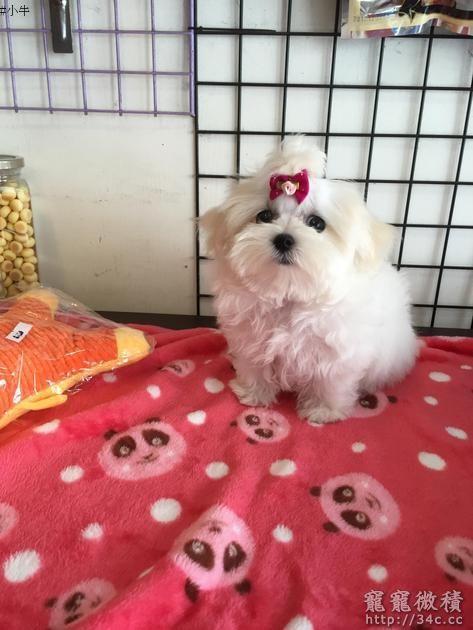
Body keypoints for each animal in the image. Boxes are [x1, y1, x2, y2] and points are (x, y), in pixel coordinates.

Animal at [200, 137, 417, 424]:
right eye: (264, 216)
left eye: (316, 223)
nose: (283, 239)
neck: (290, 294)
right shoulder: (250, 339)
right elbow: (254, 364)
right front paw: (254, 395)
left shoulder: (338, 352)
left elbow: (331, 380)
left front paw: (323, 411)